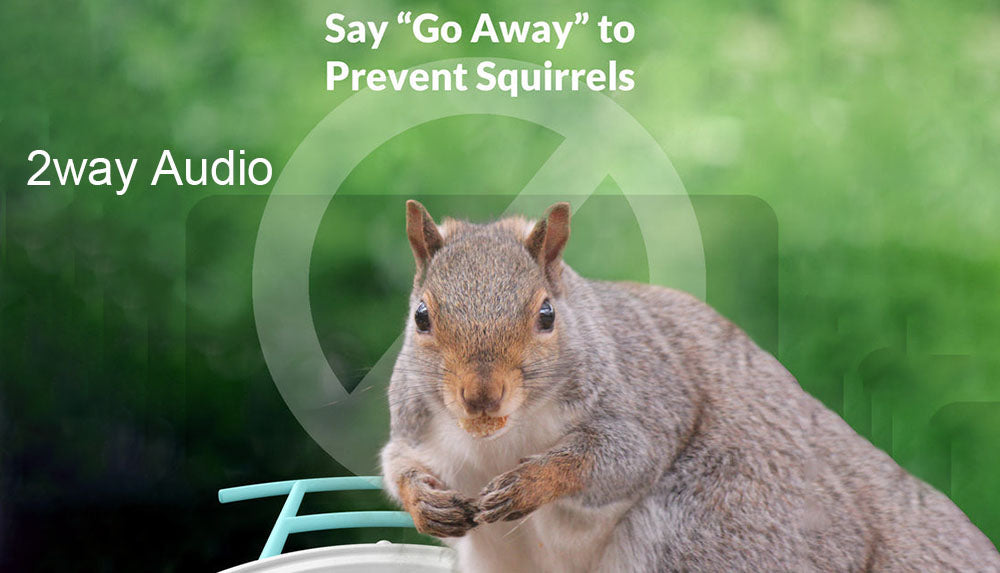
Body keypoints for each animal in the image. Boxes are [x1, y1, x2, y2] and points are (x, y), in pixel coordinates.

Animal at [380, 200, 1000, 572]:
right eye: (421, 317)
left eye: (547, 315)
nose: (481, 398)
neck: (499, 437)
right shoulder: (416, 429)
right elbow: (396, 465)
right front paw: (426, 502)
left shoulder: (645, 401)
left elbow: (614, 461)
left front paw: (529, 484)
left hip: (711, 533)